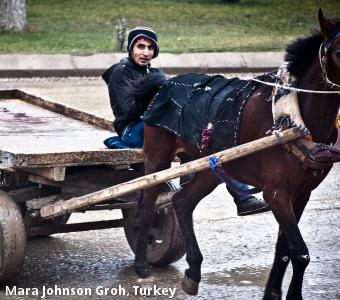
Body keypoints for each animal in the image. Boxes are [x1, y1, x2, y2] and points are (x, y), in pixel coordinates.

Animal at [133, 9, 340, 300]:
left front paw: (272, 292)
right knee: (147, 203)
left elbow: (285, 250)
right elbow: (300, 253)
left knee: (182, 202)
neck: (292, 118)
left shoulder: (302, 193)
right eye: (339, 52)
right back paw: (142, 263)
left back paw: (193, 270)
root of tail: (164, 83)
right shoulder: (277, 194)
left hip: (209, 166)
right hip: (157, 158)